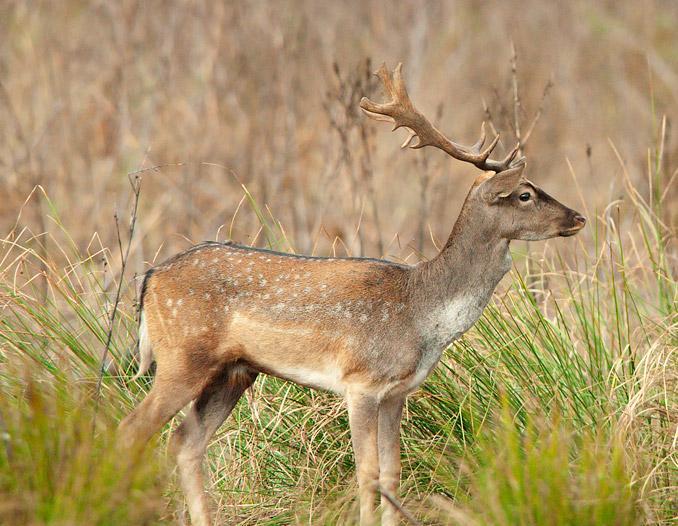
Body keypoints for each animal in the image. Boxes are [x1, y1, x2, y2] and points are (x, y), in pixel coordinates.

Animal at [119, 64, 588, 524]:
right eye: (525, 194)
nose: (578, 217)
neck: (423, 314)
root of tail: (151, 277)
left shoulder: (397, 391)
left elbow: (393, 473)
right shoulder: (360, 381)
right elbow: (368, 473)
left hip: (234, 371)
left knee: (185, 442)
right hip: (182, 355)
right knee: (133, 430)